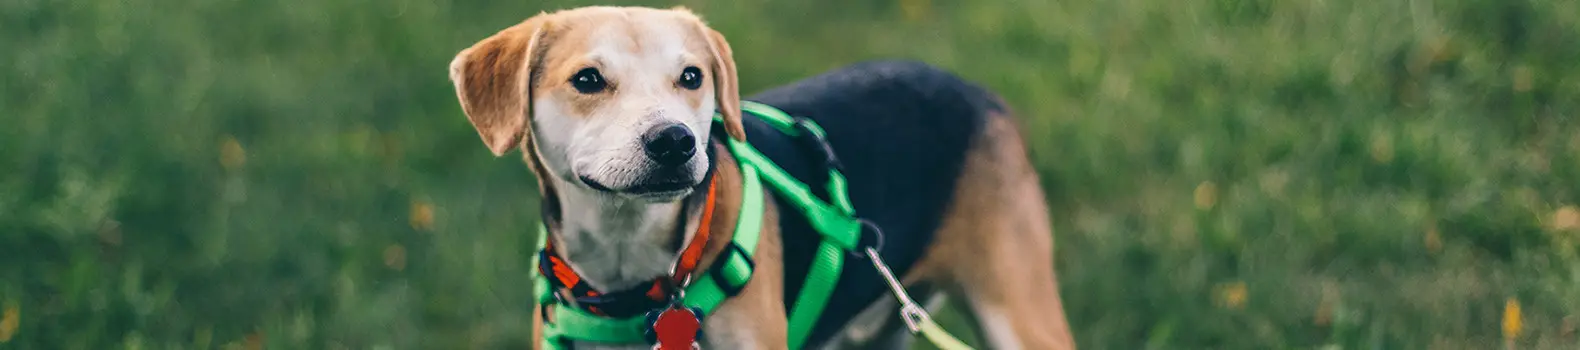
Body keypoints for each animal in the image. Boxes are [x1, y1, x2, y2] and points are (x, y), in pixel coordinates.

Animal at [451, 5, 1080, 350]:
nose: (675, 141)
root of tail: (977, 91)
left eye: (692, 76)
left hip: (1019, 313)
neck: (633, 269)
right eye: (587, 79)